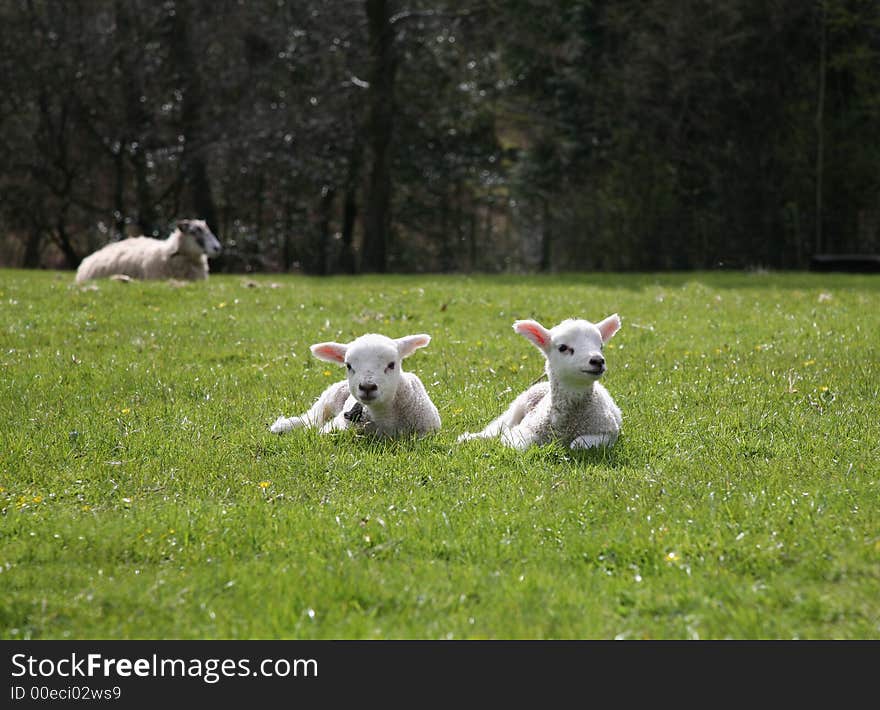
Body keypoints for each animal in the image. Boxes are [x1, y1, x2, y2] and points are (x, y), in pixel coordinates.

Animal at [268, 336, 444, 440]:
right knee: (308, 420)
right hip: (326, 402)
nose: (367, 387)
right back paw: (281, 427)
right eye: (348, 365)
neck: (384, 417)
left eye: (391, 364)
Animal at [458, 312, 624, 448]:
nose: (597, 360)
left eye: (601, 346)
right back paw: (470, 438)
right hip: (519, 405)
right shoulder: (524, 430)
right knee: (498, 427)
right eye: (563, 348)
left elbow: (578, 444)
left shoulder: (609, 432)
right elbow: (517, 442)